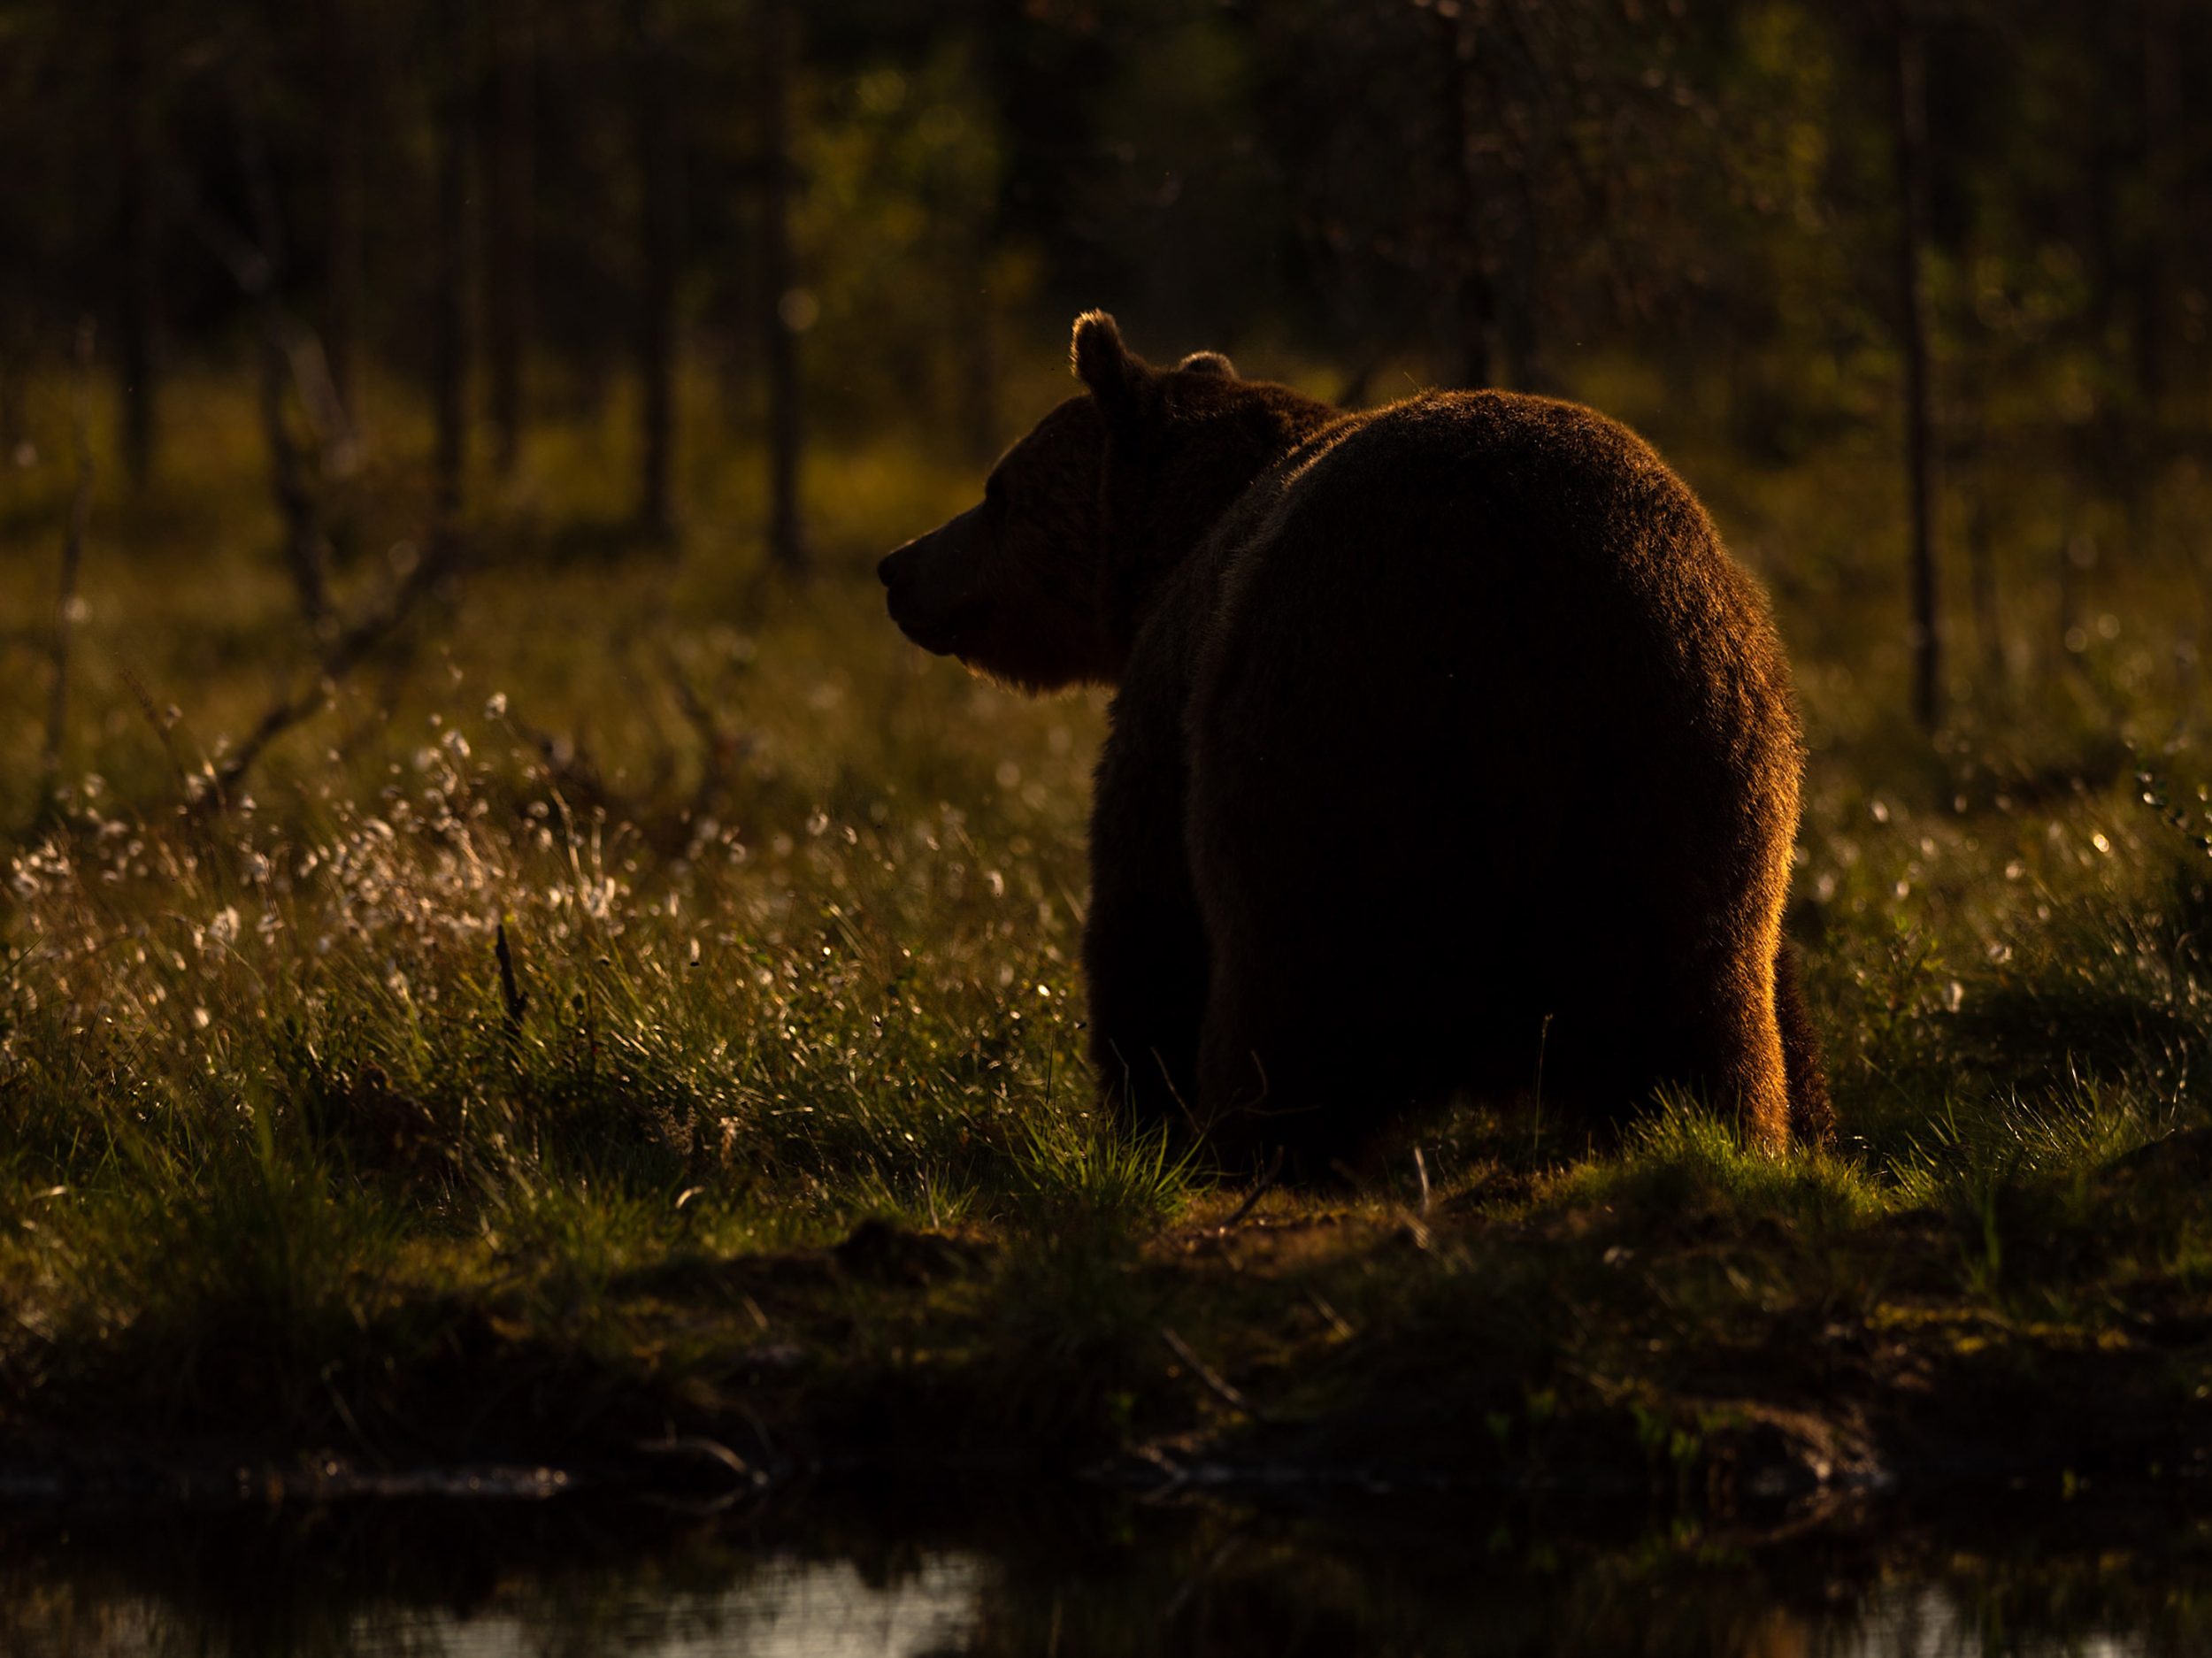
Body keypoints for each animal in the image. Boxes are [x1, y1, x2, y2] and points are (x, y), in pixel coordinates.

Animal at [880, 312, 1829, 1174]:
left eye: (997, 491)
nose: (896, 566)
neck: (1178, 534)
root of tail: (1523, 594)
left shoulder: (1173, 697)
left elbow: (1142, 909)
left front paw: (1145, 1117)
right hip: (1677, 761)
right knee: (1704, 1005)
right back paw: (1730, 1124)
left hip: (1335, 740)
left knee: (1287, 990)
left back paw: (1256, 1141)